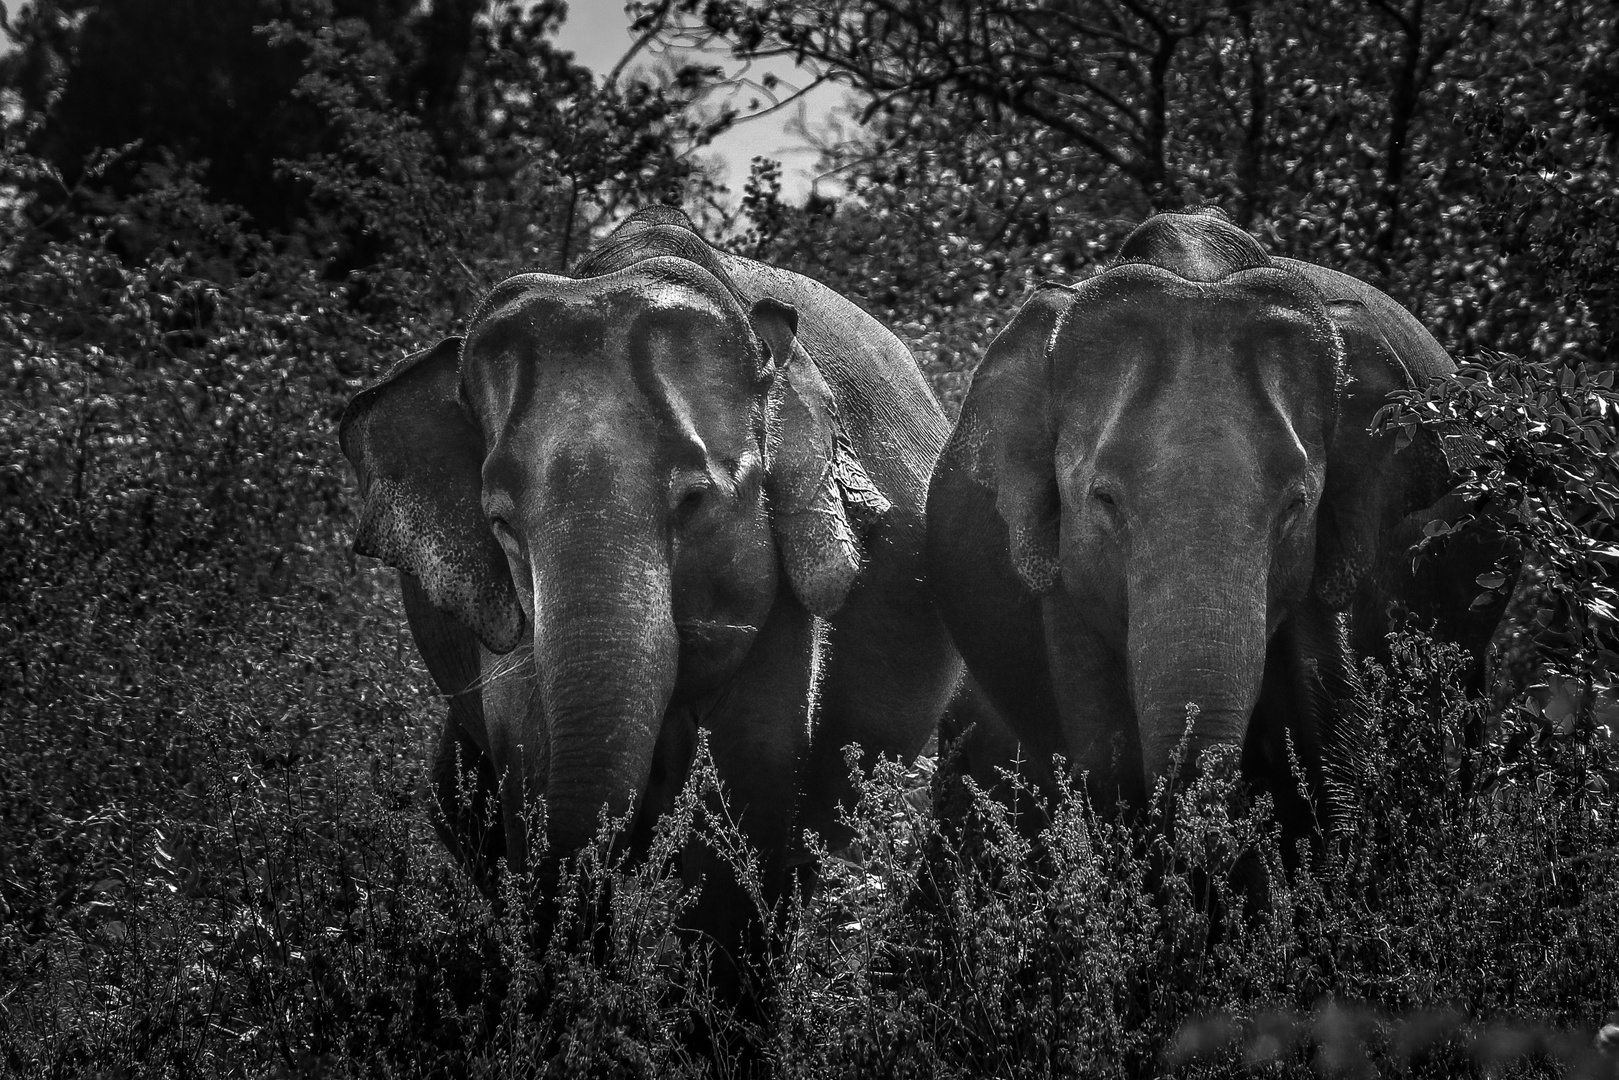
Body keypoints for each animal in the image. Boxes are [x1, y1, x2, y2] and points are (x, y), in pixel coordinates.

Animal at [335, 208, 951, 1003]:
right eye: (501, 523)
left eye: (693, 503)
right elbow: (525, 744)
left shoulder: (786, 583)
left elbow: (754, 761)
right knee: (458, 805)